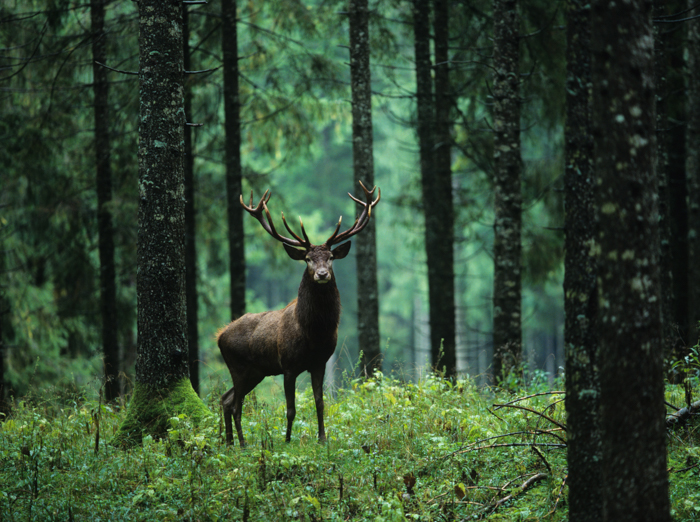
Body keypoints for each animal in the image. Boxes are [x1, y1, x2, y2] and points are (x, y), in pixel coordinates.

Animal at [217, 181, 381, 447]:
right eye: (307, 259)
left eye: (331, 257)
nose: (322, 274)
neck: (313, 333)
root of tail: (220, 336)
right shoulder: (288, 365)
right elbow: (290, 408)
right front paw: (286, 440)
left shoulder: (320, 362)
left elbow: (320, 402)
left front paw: (322, 438)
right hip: (238, 366)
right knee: (235, 404)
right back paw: (241, 444)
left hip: (256, 371)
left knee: (226, 398)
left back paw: (230, 443)